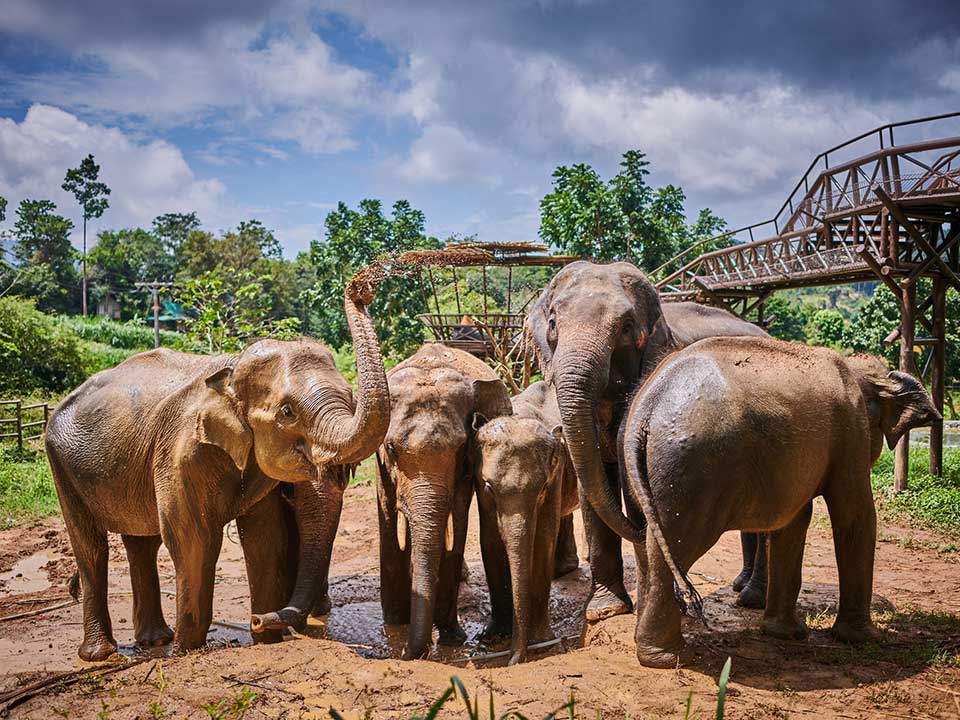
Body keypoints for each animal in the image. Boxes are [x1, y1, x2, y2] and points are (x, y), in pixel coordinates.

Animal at [45, 286, 389, 661]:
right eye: (287, 412)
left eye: (351, 398)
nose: (360, 289)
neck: (231, 369)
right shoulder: (180, 452)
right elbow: (192, 536)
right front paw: (187, 651)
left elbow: (265, 535)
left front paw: (268, 641)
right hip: (61, 465)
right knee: (91, 547)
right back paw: (101, 654)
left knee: (141, 542)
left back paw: (155, 641)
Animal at [375, 344, 512, 660]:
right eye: (391, 448)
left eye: (460, 447)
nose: (405, 653)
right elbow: (388, 517)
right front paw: (395, 624)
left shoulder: (465, 468)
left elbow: (457, 520)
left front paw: (452, 639)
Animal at [473, 380, 579, 665]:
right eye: (489, 487)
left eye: (541, 489)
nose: (513, 660)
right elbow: (489, 539)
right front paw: (491, 636)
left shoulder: (557, 471)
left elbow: (544, 537)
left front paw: (541, 642)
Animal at [525, 260, 768, 621]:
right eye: (553, 323)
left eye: (627, 328)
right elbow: (593, 484)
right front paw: (604, 610)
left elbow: (630, 482)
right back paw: (741, 586)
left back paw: (752, 598)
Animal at [619, 338, 941, 668]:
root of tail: (648, 406)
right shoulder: (851, 428)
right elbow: (854, 514)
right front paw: (864, 639)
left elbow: (794, 522)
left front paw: (786, 634)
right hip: (694, 467)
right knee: (676, 545)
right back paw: (668, 657)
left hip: (645, 469)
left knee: (648, 543)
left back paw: (651, 646)